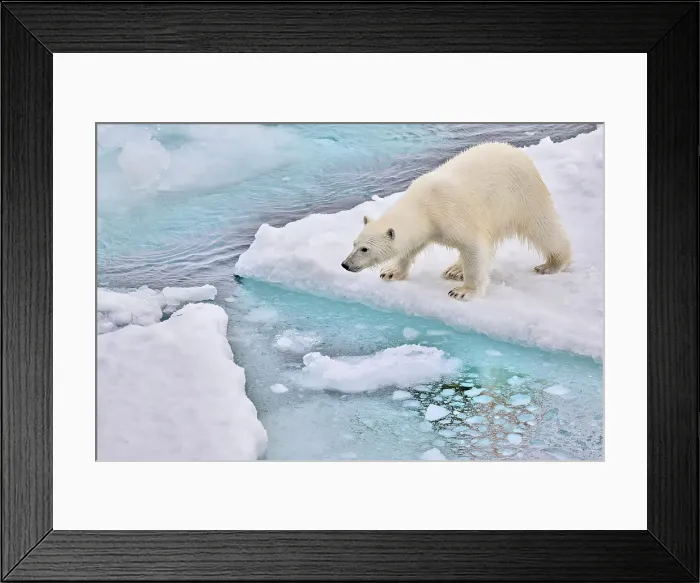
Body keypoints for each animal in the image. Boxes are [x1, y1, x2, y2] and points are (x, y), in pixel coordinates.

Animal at [341, 141, 572, 301]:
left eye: (365, 249)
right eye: (354, 244)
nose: (345, 264)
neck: (426, 205)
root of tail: (517, 151)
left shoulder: (453, 214)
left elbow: (473, 247)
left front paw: (463, 291)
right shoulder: (430, 226)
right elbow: (412, 247)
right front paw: (391, 271)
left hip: (522, 196)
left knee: (542, 228)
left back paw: (552, 264)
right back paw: (455, 269)